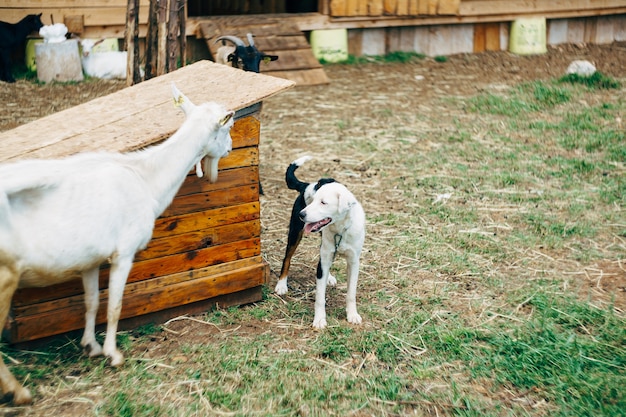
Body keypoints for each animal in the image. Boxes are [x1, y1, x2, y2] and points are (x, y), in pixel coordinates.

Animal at [0, 83, 233, 404]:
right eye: (228, 126)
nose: (232, 147)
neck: (145, 178)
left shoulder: (89, 259)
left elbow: (91, 302)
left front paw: (91, 346)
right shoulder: (124, 252)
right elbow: (114, 304)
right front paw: (113, 354)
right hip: (4, 274)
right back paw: (19, 391)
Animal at [274, 156, 366, 328]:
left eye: (323, 202)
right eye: (314, 200)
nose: (302, 215)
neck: (340, 230)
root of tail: (307, 184)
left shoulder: (353, 261)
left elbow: (351, 293)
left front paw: (352, 315)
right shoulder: (324, 259)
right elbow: (320, 298)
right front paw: (319, 320)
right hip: (295, 234)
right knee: (287, 258)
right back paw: (281, 284)